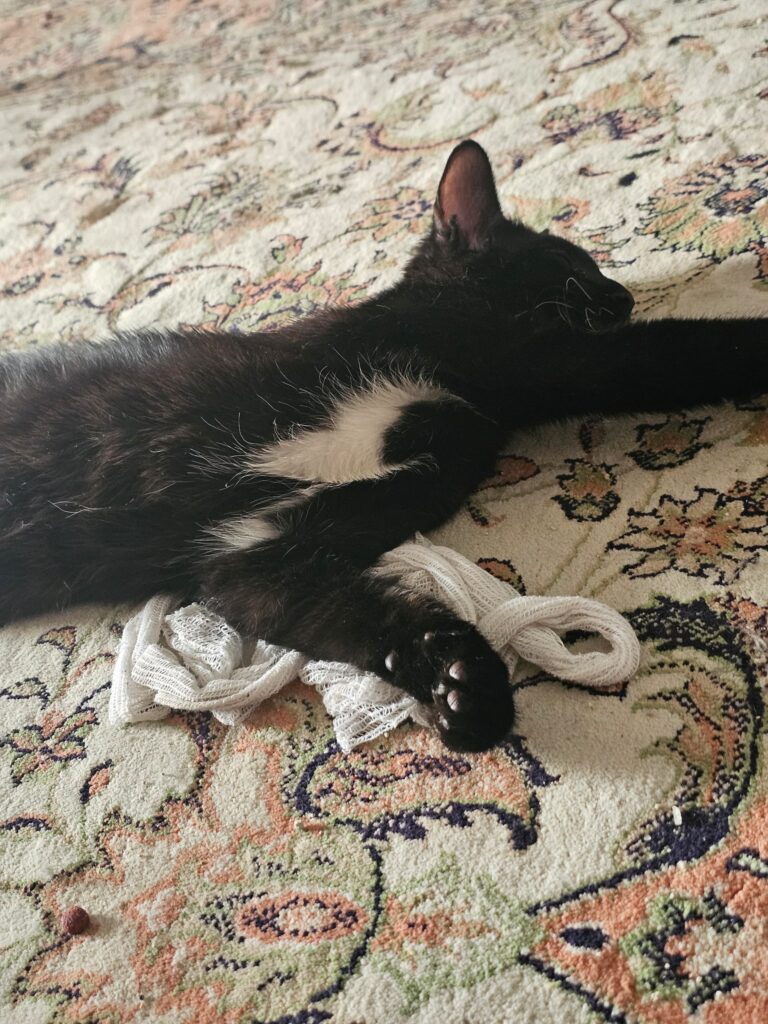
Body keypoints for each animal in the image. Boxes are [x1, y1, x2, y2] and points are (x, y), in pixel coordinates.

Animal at [1, 140, 766, 752]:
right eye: (570, 260)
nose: (622, 297)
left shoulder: (254, 555)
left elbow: (357, 615)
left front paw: (465, 689)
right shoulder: (541, 359)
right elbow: (679, 350)